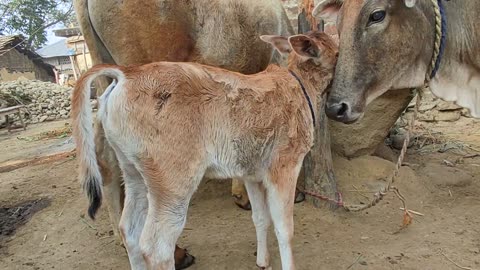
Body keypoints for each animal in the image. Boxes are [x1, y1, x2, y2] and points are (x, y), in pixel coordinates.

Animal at [72, 32, 338, 270]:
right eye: (336, 48)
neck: (300, 87)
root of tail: (125, 74)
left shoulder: (251, 172)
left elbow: (260, 218)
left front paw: (263, 262)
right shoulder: (284, 166)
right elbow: (285, 229)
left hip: (133, 170)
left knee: (129, 231)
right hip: (173, 180)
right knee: (156, 247)